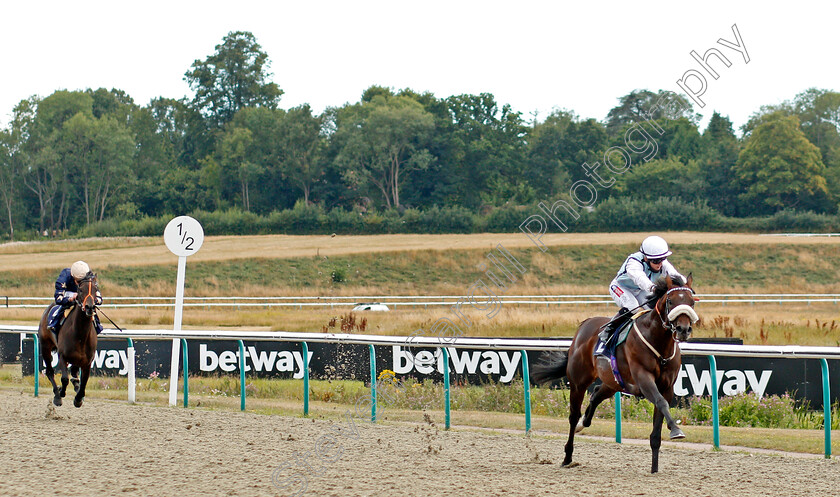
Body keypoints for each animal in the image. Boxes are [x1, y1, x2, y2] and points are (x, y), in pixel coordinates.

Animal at [37, 272, 99, 406]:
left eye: (96, 289)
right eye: (80, 290)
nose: (90, 307)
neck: (80, 335)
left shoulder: (88, 361)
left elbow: (84, 382)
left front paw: (78, 398)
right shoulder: (62, 355)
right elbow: (64, 378)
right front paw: (60, 393)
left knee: (74, 371)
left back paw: (75, 383)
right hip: (45, 346)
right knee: (49, 371)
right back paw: (57, 394)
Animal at [536, 276, 700, 472]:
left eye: (691, 302)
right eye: (670, 301)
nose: (683, 329)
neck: (658, 342)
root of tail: (584, 324)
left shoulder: (666, 387)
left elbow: (657, 427)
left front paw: (654, 469)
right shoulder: (644, 379)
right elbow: (661, 402)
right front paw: (676, 430)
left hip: (613, 381)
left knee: (596, 394)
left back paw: (584, 423)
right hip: (578, 382)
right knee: (573, 415)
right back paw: (568, 456)